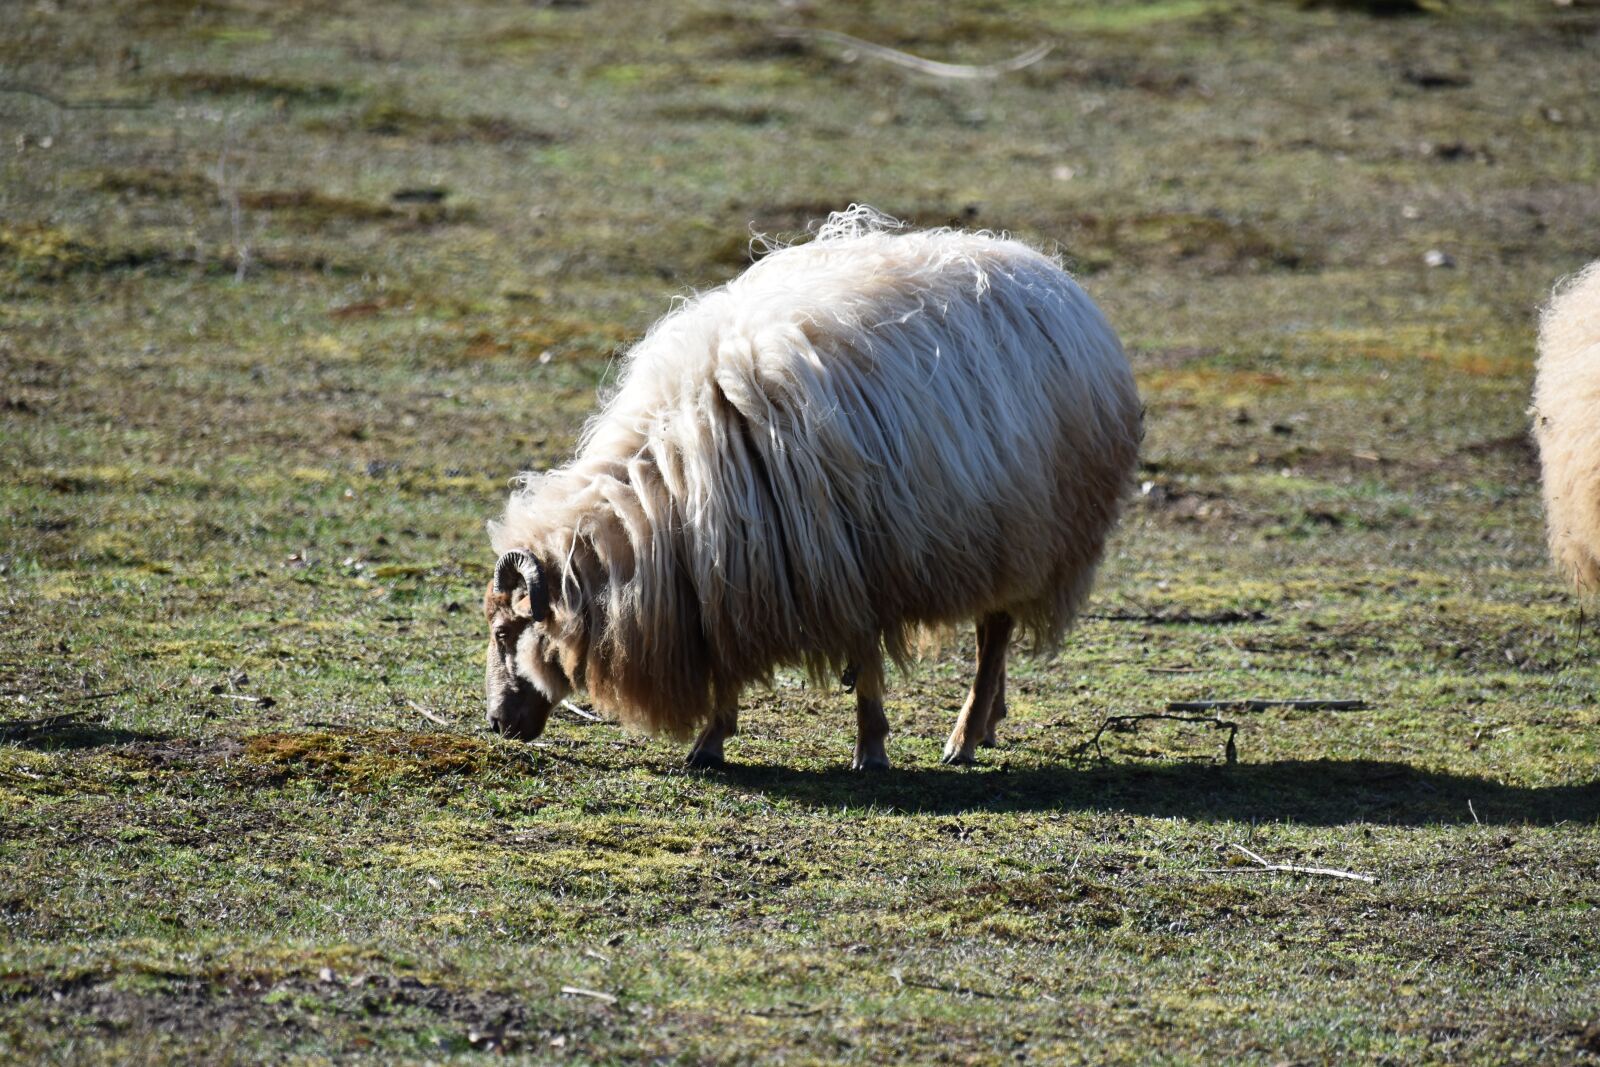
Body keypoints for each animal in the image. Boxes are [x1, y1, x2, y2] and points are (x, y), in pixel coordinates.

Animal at [484, 207, 1142, 769]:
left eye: (504, 632)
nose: (495, 724)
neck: (662, 494)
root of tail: (1048, 272)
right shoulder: (730, 576)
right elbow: (728, 662)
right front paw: (712, 740)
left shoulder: (854, 562)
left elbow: (867, 660)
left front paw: (870, 749)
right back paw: (989, 723)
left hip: (1031, 528)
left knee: (993, 635)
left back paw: (965, 735)